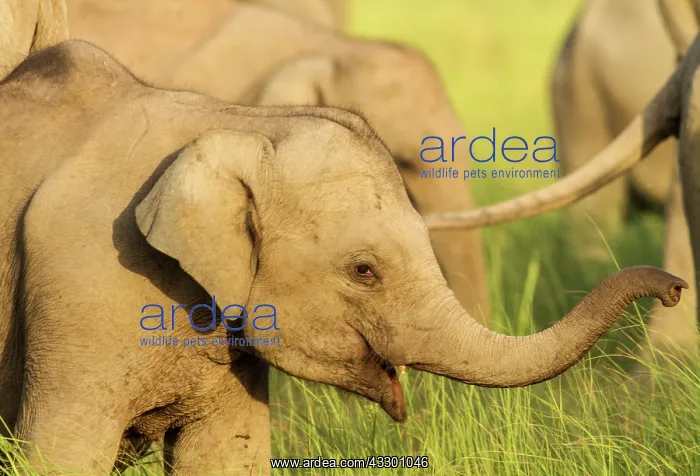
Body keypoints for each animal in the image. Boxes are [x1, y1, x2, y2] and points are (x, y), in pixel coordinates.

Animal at [0, 40, 688, 475]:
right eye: (364, 271)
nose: (674, 286)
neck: (240, 123)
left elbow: (226, 458)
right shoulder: (83, 288)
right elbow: (62, 453)